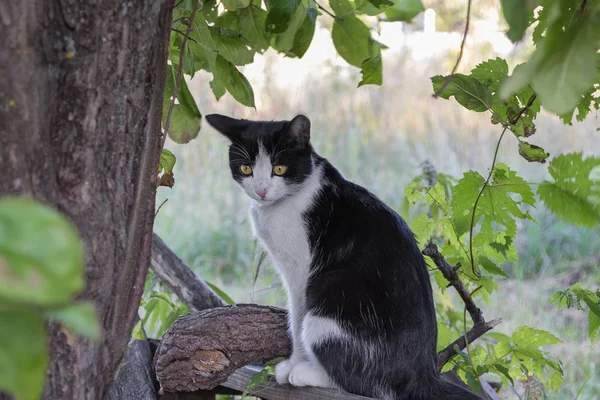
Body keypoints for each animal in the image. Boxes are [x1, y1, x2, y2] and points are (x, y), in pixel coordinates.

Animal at [206, 113, 482, 400]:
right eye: (246, 169)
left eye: (279, 169)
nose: (261, 190)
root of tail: (424, 372)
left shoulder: (301, 271)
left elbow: (297, 318)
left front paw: (294, 363)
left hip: (327, 302)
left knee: (366, 385)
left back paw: (307, 373)